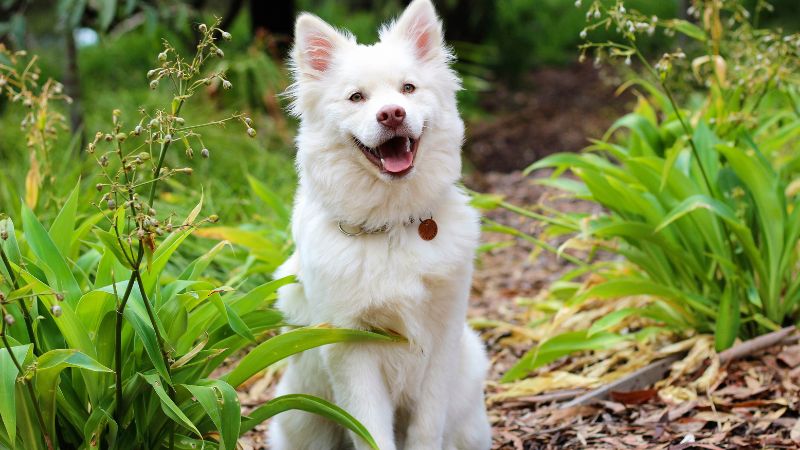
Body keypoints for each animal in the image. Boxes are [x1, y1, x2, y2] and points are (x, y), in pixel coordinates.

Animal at [268, 1, 490, 448]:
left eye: (408, 89)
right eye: (357, 97)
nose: (391, 114)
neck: (392, 225)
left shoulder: (441, 339)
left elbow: (427, 426)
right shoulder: (351, 348)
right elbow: (370, 429)